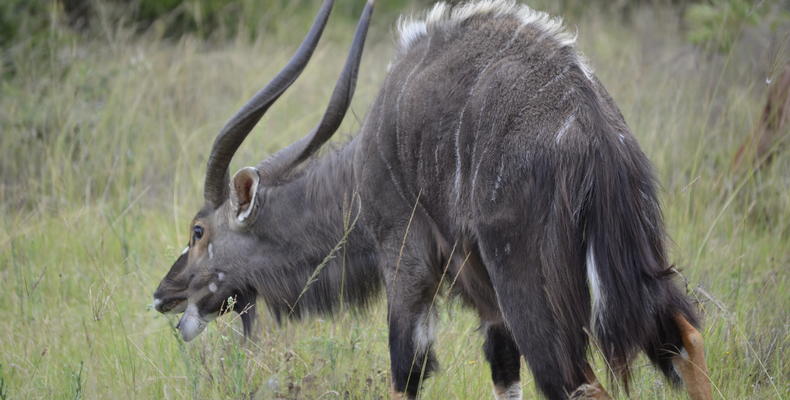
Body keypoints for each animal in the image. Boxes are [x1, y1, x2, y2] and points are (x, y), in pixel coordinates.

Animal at [155, 1, 716, 398]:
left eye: (199, 231)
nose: (165, 296)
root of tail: (592, 131)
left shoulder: (407, 267)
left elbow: (406, 372)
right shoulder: (490, 311)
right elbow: (503, 374)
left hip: (532, 296)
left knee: (578, 384)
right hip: (633, 273)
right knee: (687, 336)